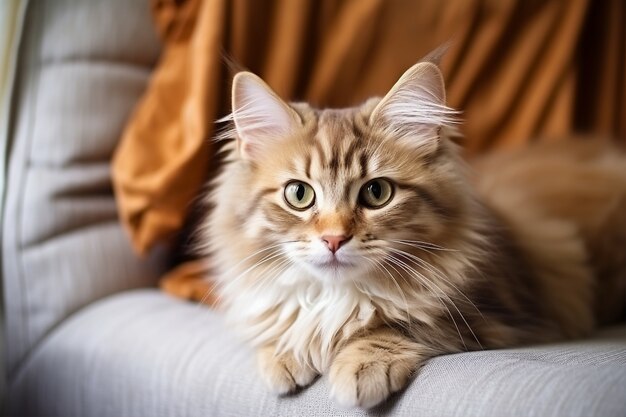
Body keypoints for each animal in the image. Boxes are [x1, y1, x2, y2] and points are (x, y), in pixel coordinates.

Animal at [201, 57, 624, 408]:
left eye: (376, 193)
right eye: (299, 194)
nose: (334, 239)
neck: (338, 296)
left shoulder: (501, 316)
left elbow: (401, 324)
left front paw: (362, 363)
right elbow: (288, 321)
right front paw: (285, 350)